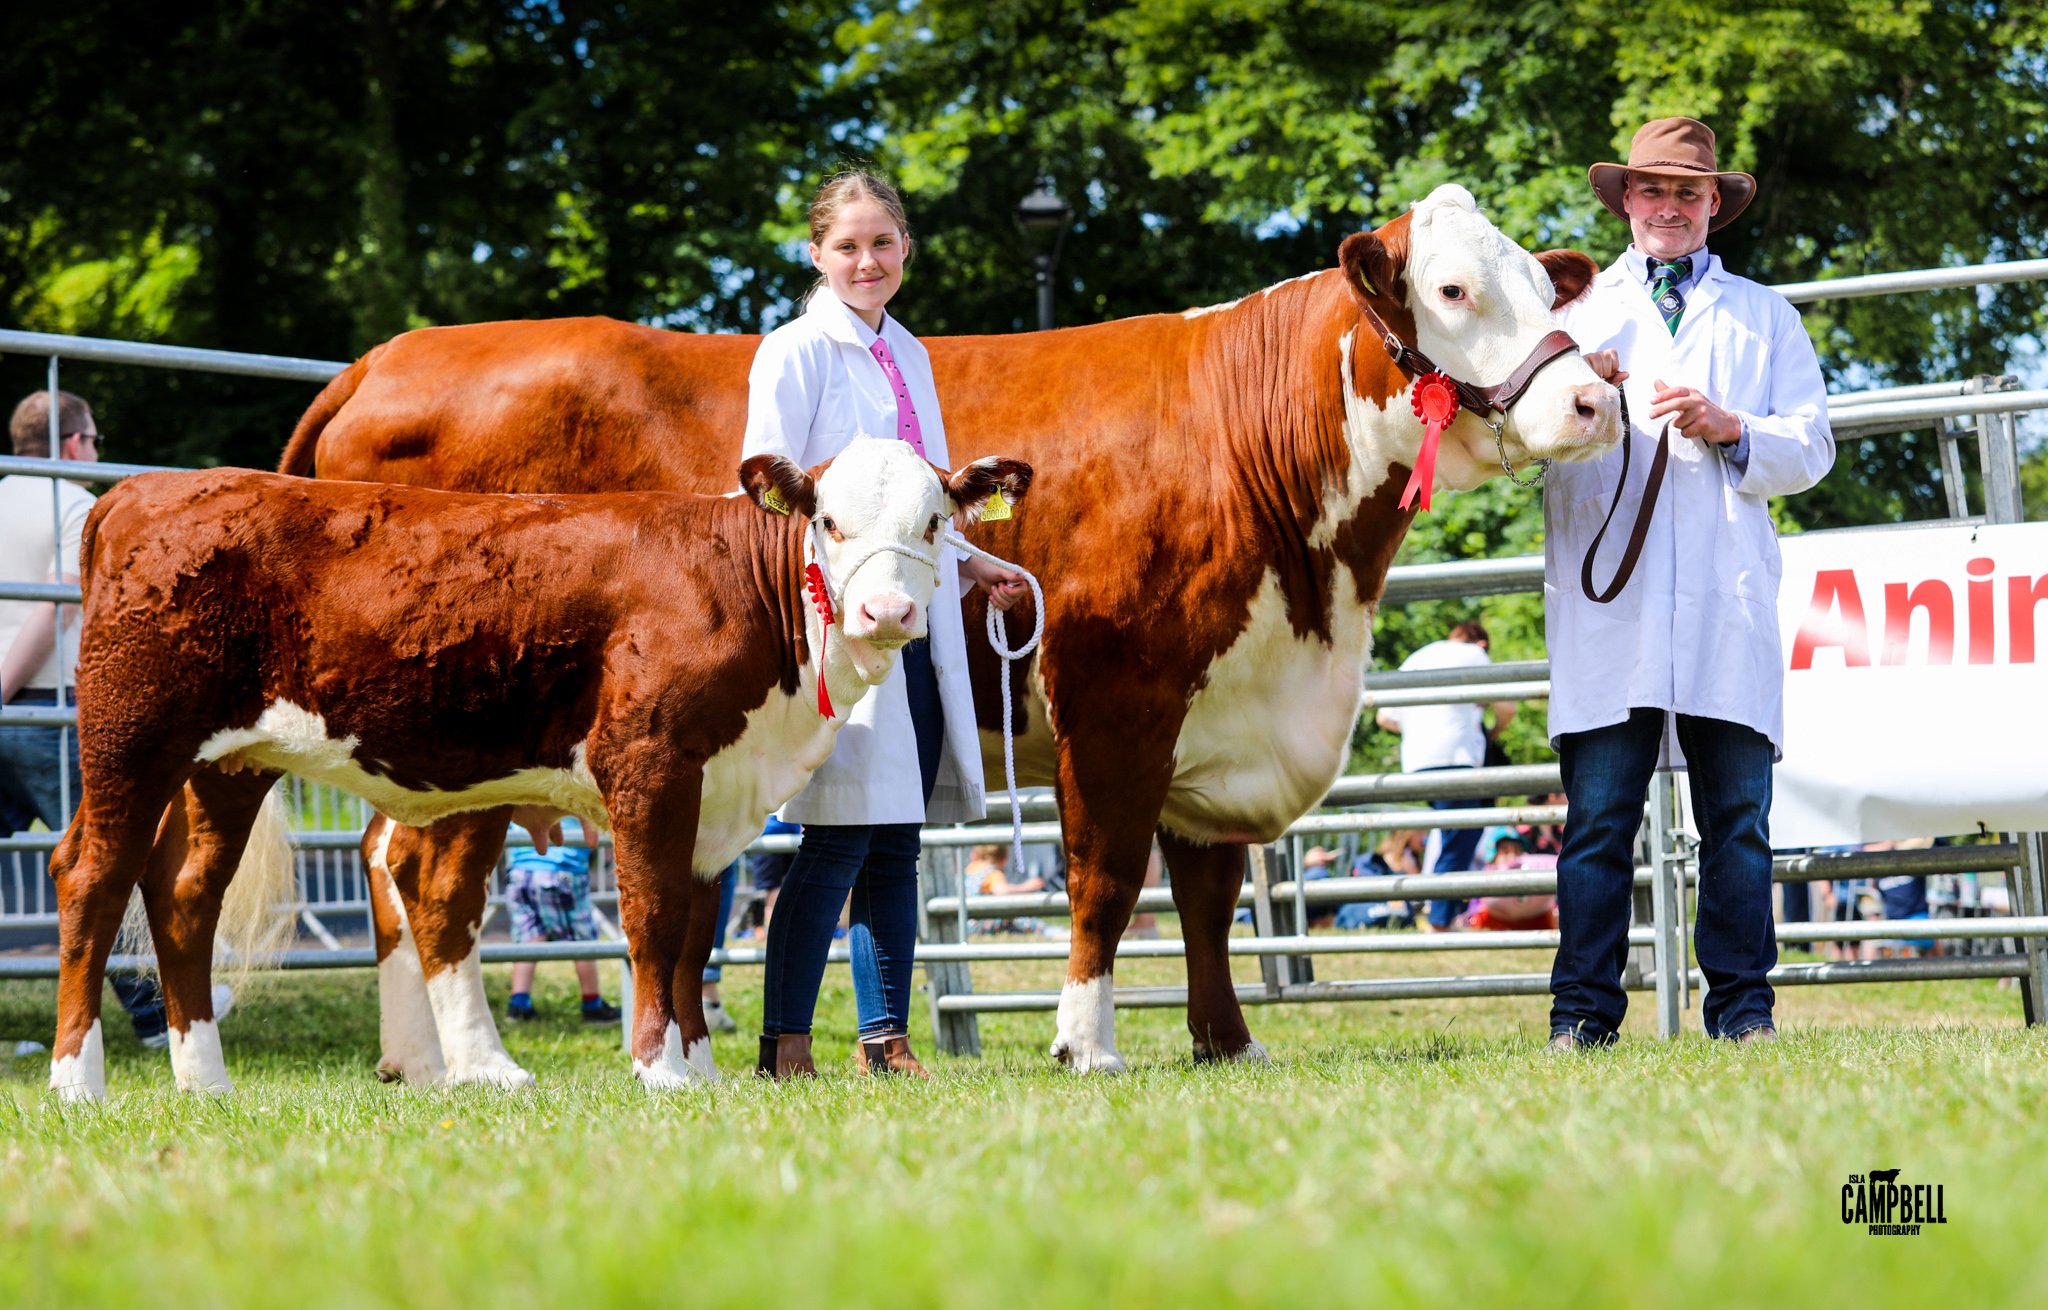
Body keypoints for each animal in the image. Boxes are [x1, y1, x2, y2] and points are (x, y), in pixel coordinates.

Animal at [46, 439, 1031, 1101]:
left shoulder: (718, 791)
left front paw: (701, 1069)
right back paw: (76, 1081)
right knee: (93, 876)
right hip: (131, 733)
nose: (887, 610)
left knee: (185, 897)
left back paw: (204, 1080)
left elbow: (696, 935)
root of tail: (143, 490)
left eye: (934, 523)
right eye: (828, 521)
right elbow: (651, 918)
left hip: (228, 763)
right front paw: (658, 1070)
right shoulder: (650, 763)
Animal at [284, 183, 1620, 1075]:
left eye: (1543, 282)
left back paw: (419, 1064)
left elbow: (1204, 891)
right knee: (435, 877)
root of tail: (388, 356)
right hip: (471, 725)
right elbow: (1104, 876)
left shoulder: (1221, 708)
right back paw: (483, 1062)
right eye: (1451, 290)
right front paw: (1086, 1043)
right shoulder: (1117, 696)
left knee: (388, 863)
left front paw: (1225, 1042)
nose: (1592, 398)